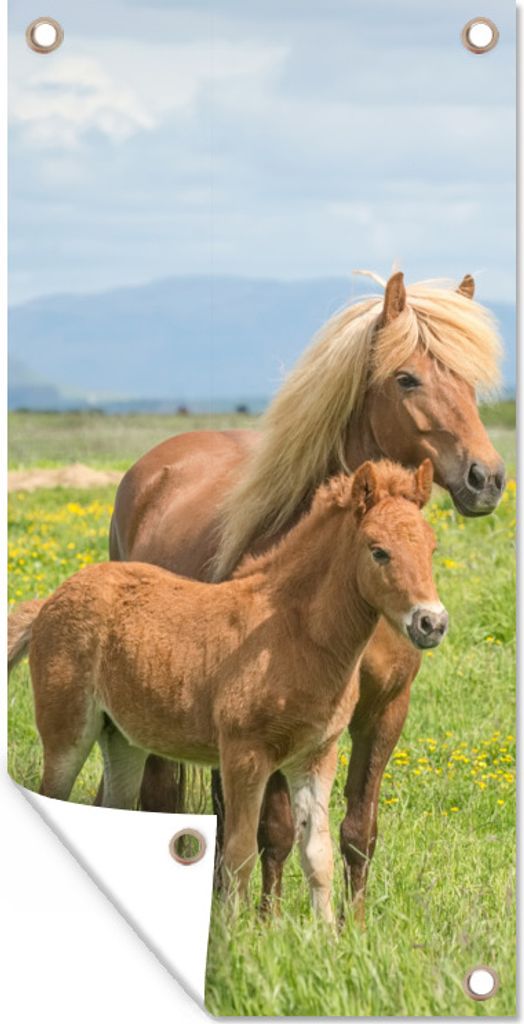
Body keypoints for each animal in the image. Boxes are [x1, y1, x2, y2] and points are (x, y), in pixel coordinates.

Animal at [8, 460, 448, 922]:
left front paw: (328, 933)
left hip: (122, 739)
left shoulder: (314, 756)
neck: (291, 633)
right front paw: (233, 932)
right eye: (378, 551)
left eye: (432, 549)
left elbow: (317, 853)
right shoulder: (244, 754)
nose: (432, 623)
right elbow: (239, 851)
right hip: (67, 733)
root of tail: (51, 600)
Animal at [105, 269, 505, 923]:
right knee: (166, 799)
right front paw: (267, 925)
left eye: (470, 380)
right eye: (407, 377)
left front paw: (357, 926)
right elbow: (274, 831)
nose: (487, 479)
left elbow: (357, 830)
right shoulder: (272, 723)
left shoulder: (384, 711)